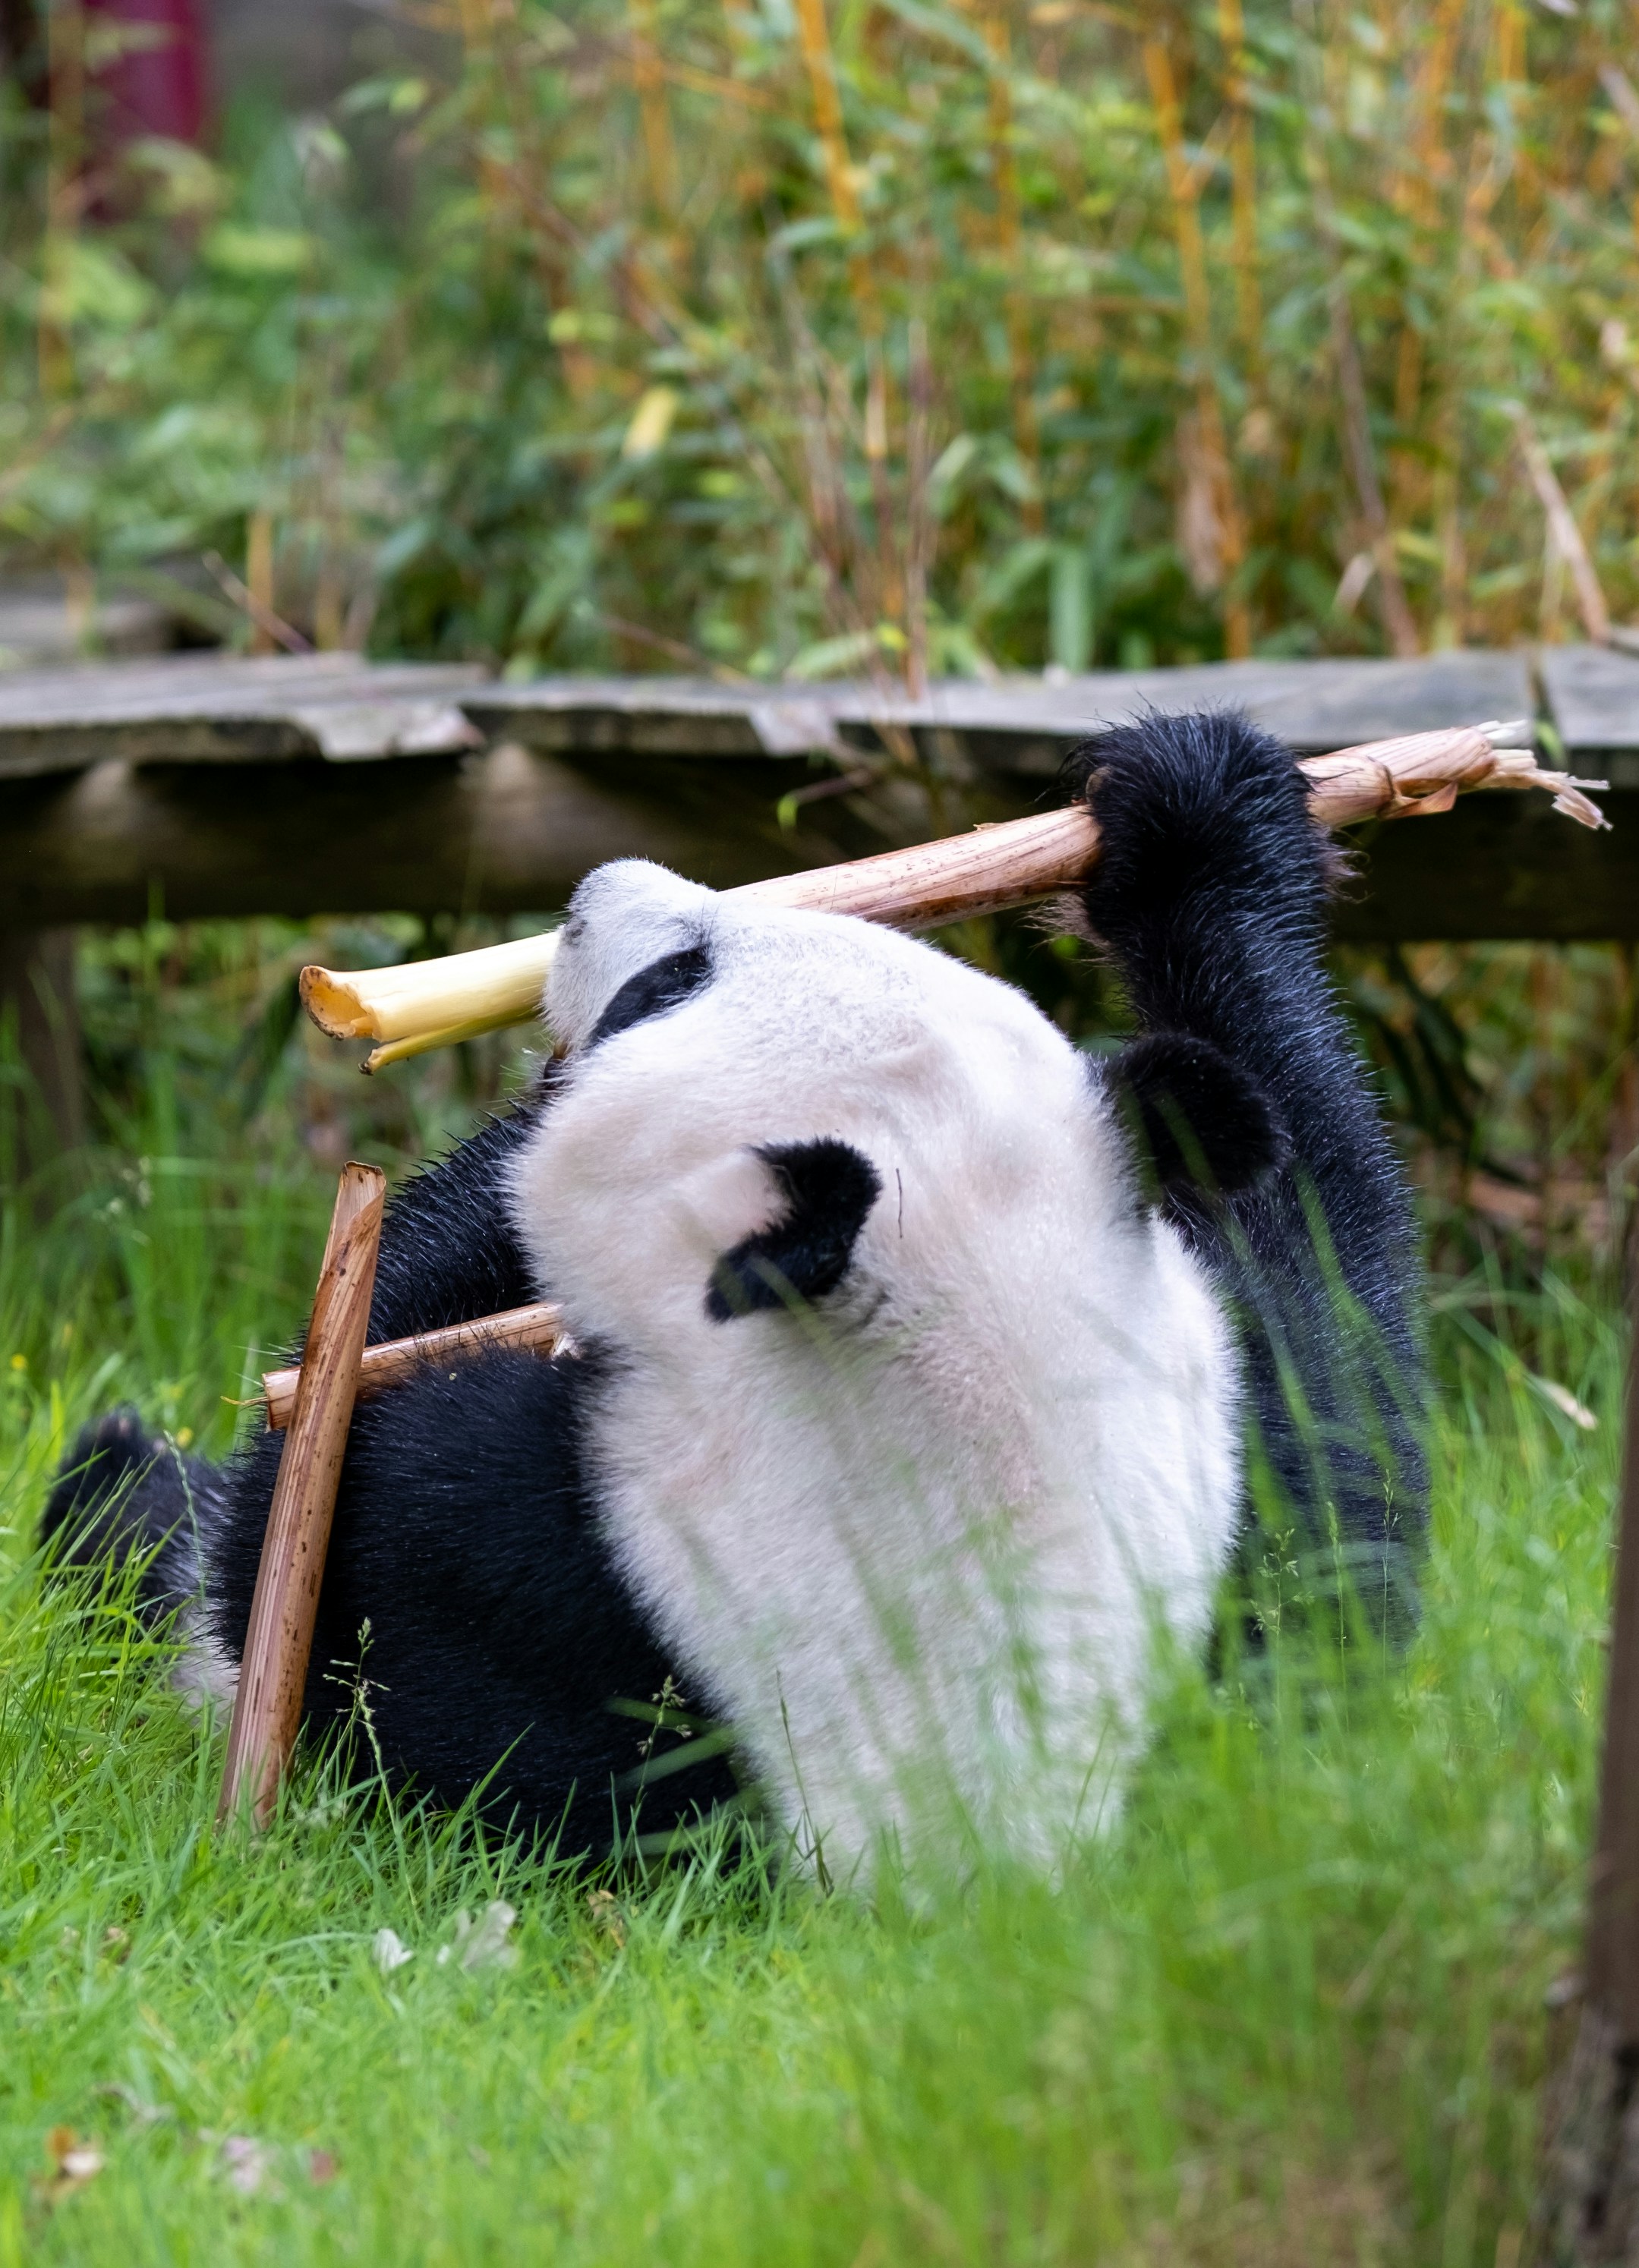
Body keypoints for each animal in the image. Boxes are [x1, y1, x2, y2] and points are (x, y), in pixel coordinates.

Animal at [44, 711, 1426, 1876]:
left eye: (669, 986)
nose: (593, 891)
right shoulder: (1246, 1515)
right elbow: (1334, 1329)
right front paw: (1206, 813)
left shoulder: (545, 1566)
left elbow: (309, 1525)